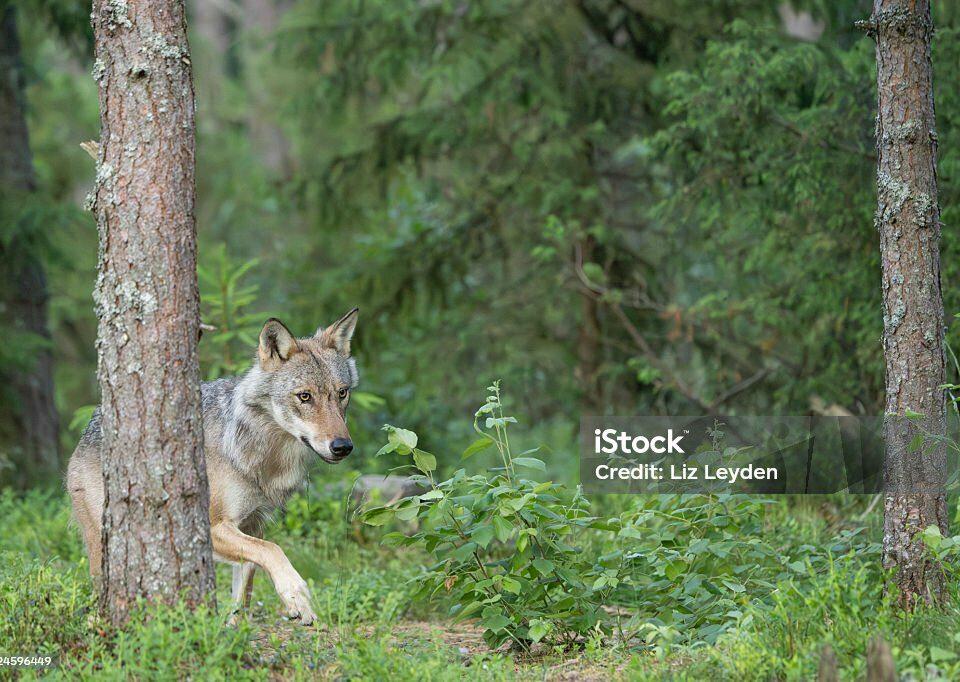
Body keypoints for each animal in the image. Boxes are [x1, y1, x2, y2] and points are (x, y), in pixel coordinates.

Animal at [66, 308, 360, 625]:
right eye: (304, 396)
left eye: (341, 393)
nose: (343, 446)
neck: (263, 454)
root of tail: (91, 421)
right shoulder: (213, 527)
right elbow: (274, 550)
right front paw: (296, 595)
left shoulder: (254, 525)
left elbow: (246, 584)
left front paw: (233, 630)